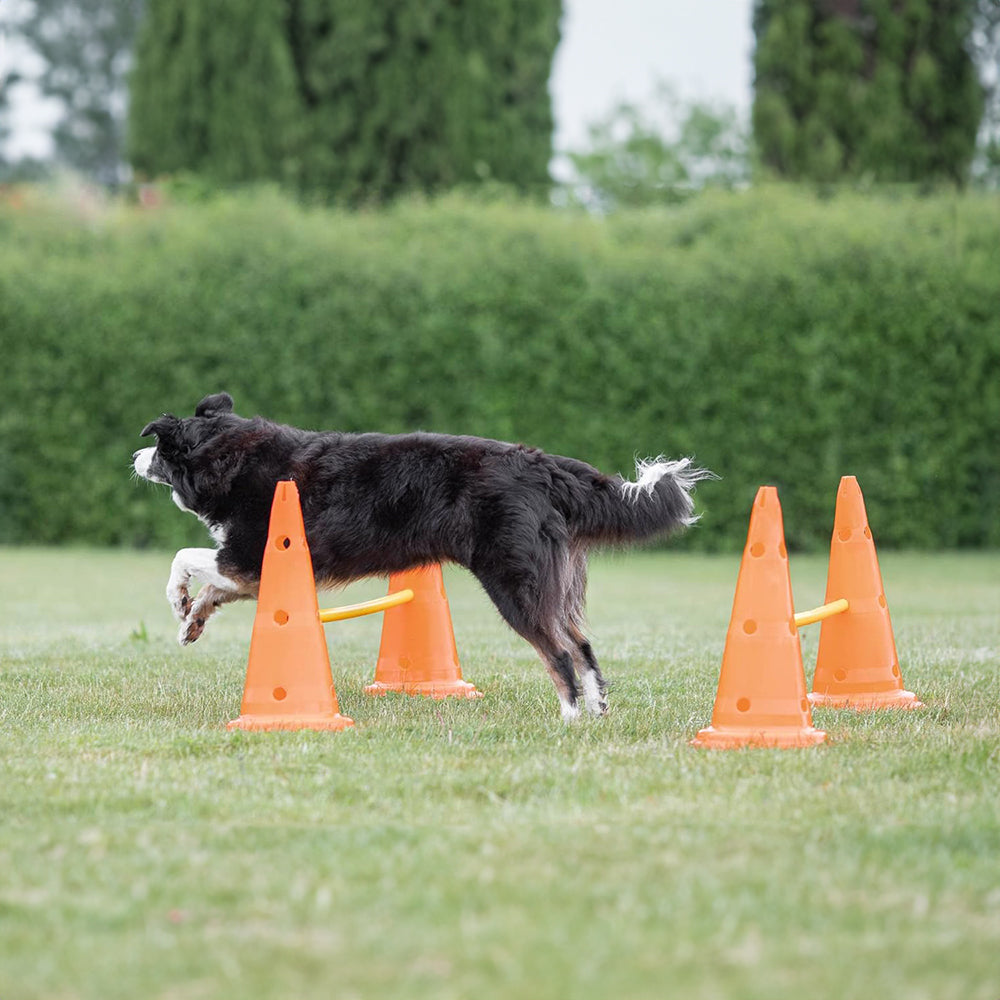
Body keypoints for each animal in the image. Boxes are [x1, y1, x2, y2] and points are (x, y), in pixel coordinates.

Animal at [135, 392, 712, 720]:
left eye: (158, 449)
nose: (135, 456)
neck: (227, 455)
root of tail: (540, 464)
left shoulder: (253, 553)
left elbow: (185, 558)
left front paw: (178, 599)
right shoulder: (256, 571)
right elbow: (213, 585)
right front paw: (192, 619)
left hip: (513, 583)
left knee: (559, 652)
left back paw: (569, 718)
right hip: (547, 583)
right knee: (583, 644)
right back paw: (596, 711)